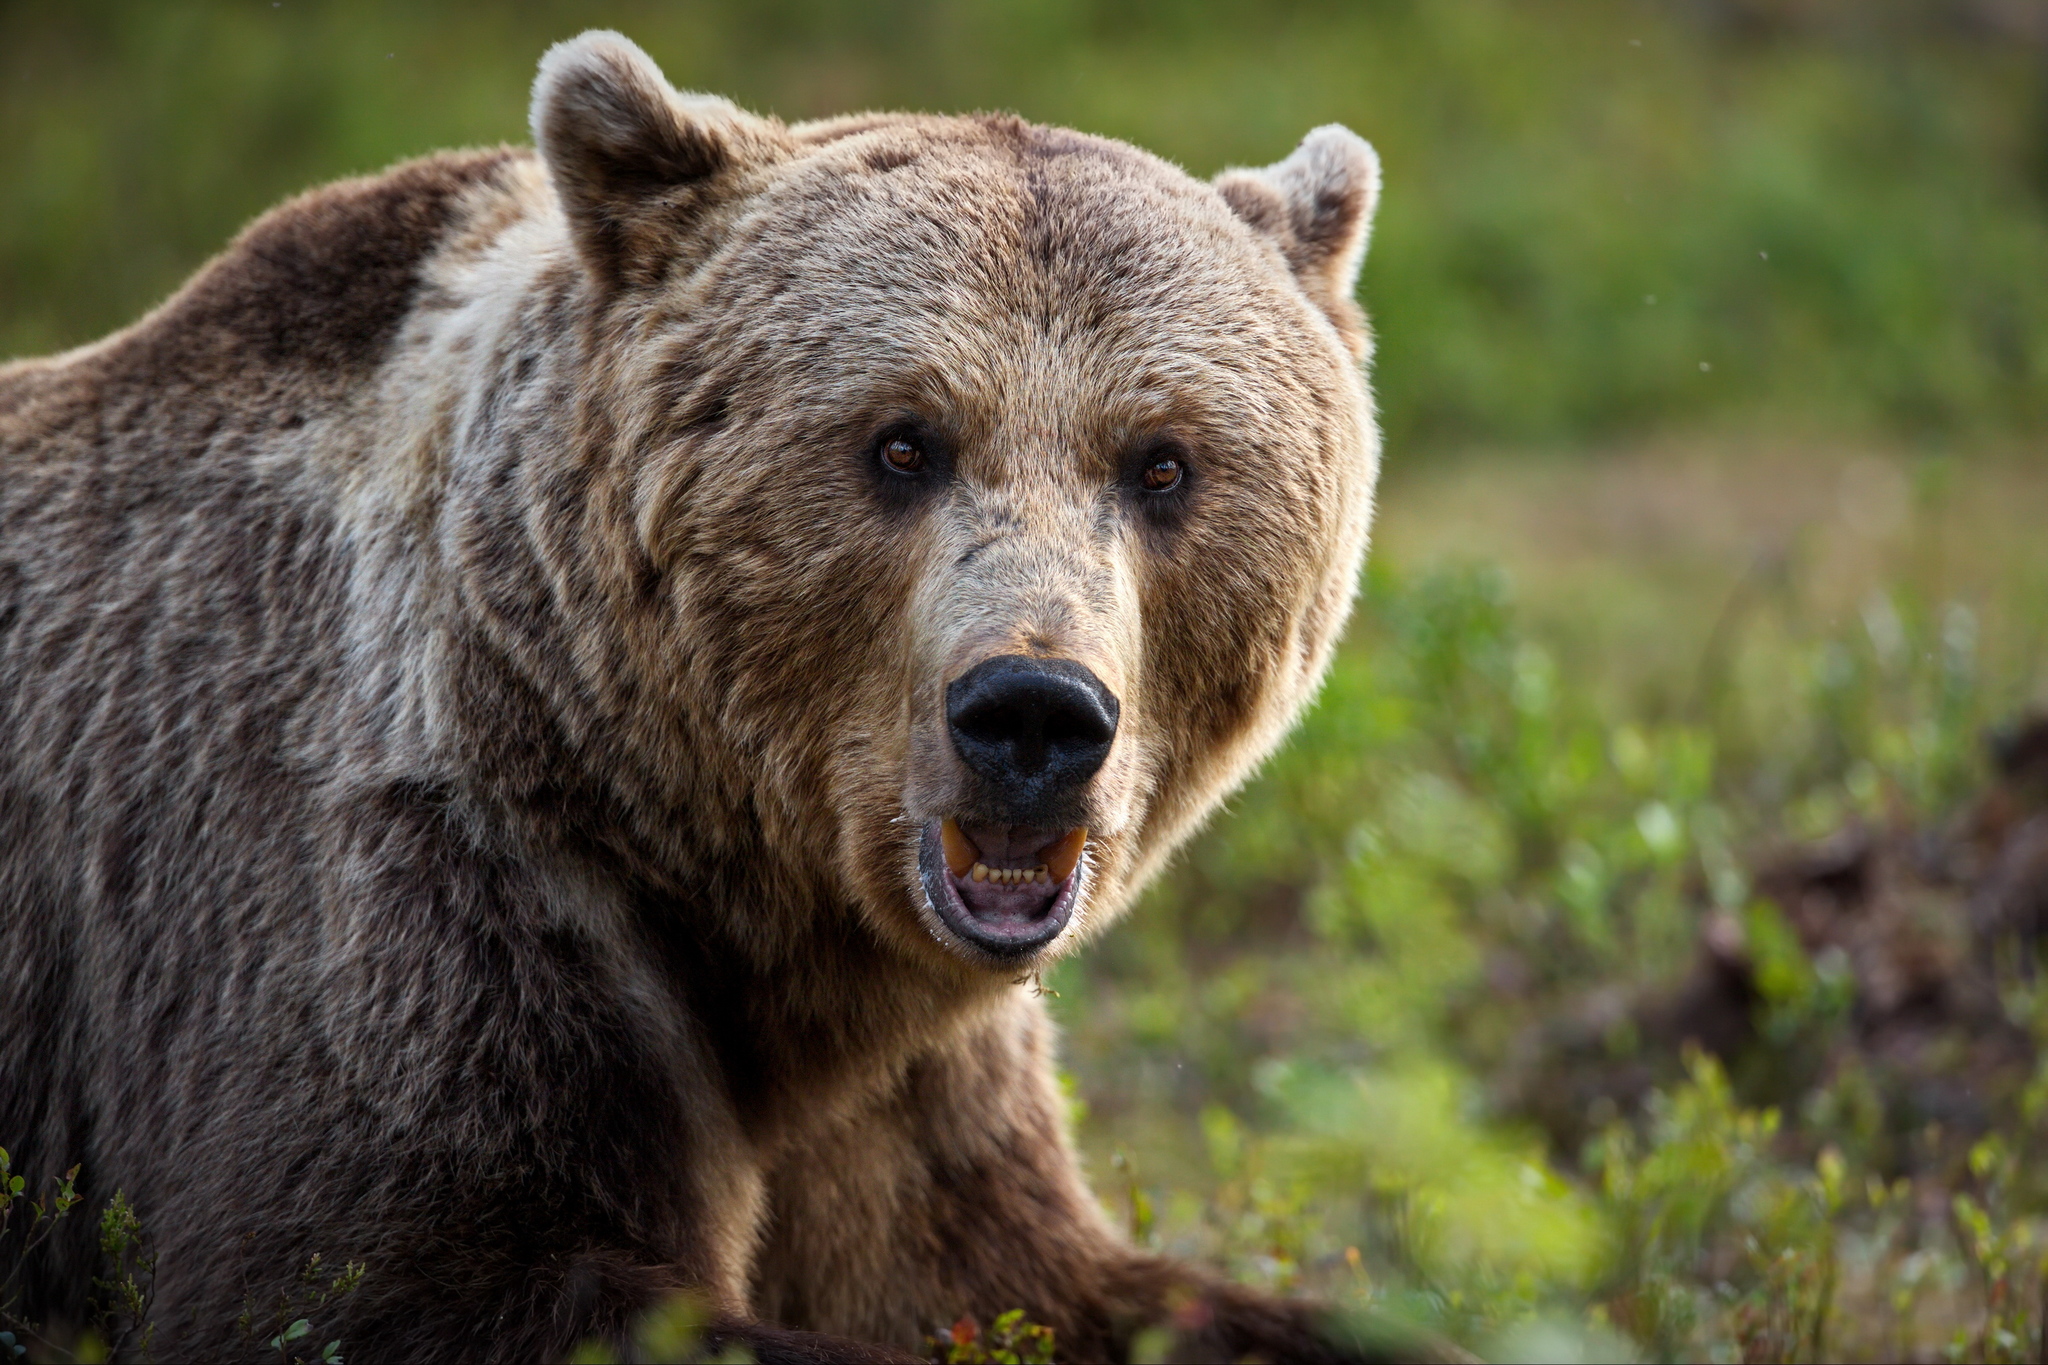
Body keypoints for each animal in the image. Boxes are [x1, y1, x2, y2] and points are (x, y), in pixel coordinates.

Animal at [0, 31, 1392, 1365]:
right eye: (903, 440)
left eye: (1161, 461)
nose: (1034, 714)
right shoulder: (404, 896)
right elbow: (387, 1279)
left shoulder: (900, 1087)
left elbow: (1021, 1276)